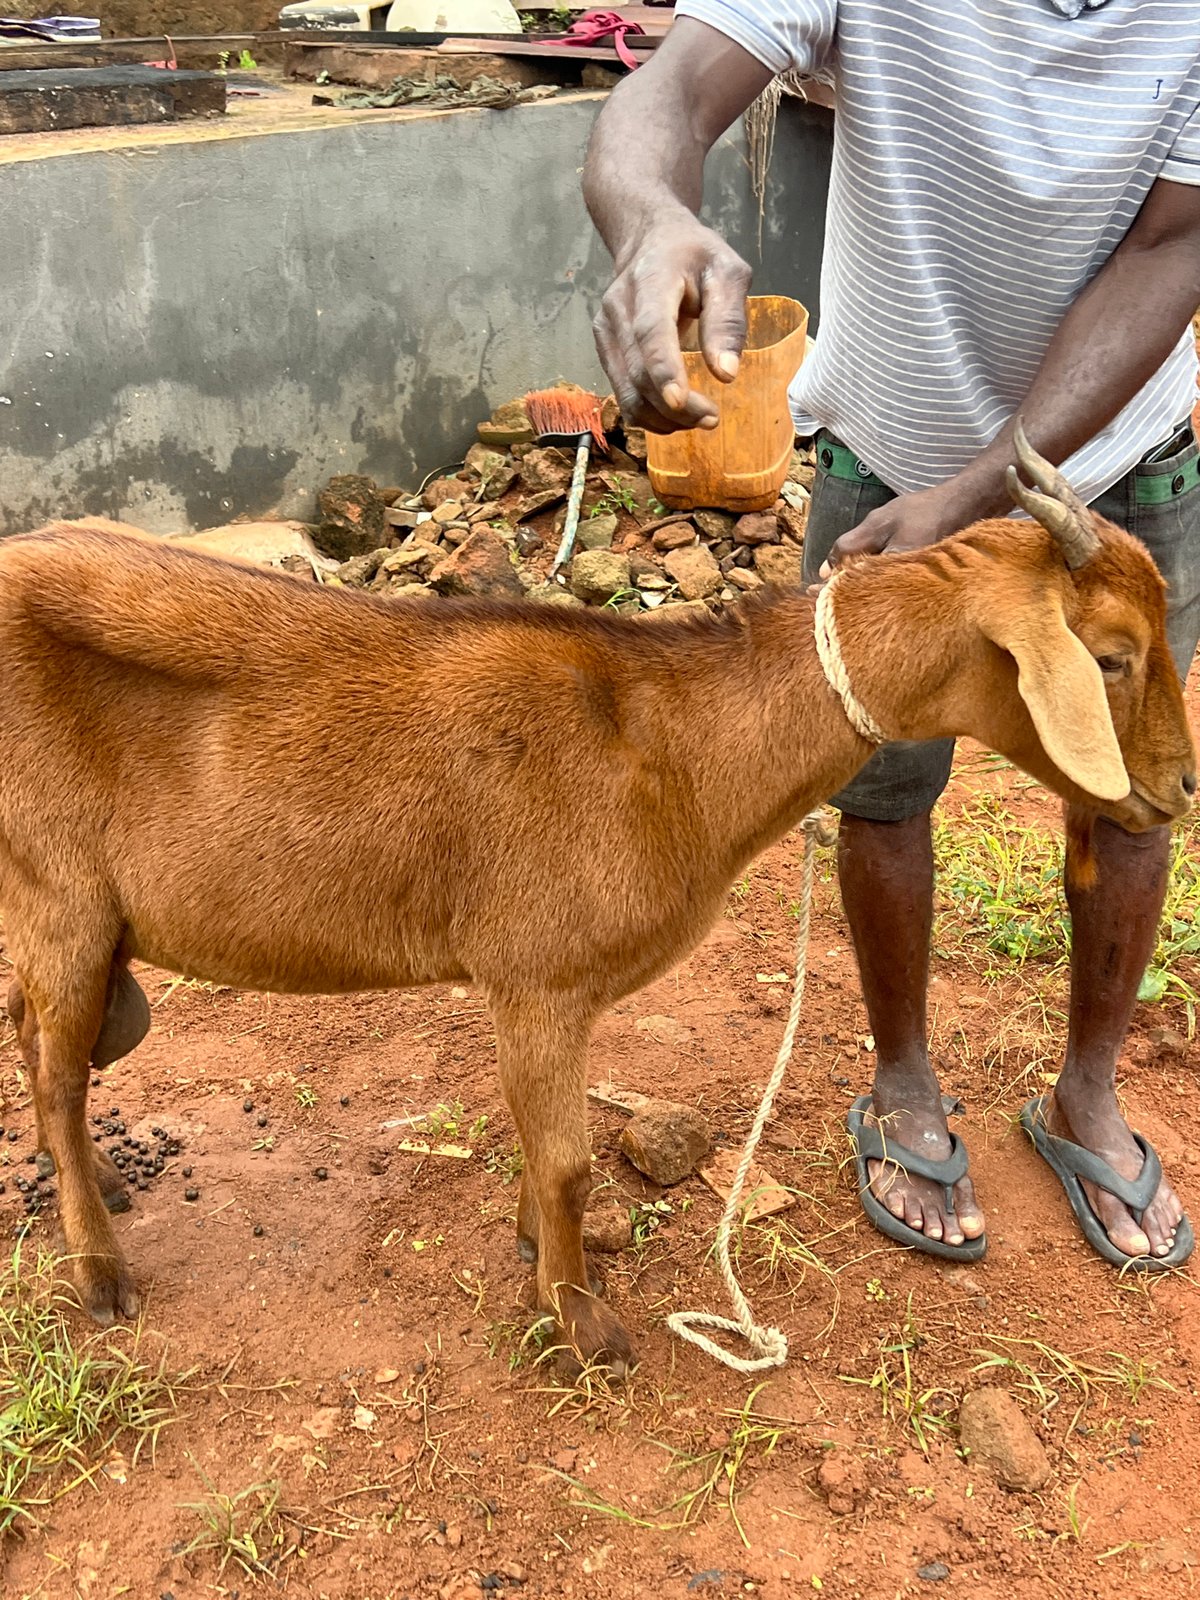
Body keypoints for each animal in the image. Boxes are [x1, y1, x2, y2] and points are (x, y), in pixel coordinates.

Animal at [1, 431, 1193, 1374]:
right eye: (1111, 656)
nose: (1182, 785)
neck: (666, 743)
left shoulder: (556, 998)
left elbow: (545, 1156)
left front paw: (542, 1260)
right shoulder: (537, 980)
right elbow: (570, 1163)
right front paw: (581, 1324)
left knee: (41, 1045)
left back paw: (87, 1178)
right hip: (61, 890)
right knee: (55, 1075)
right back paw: (98, 1270)